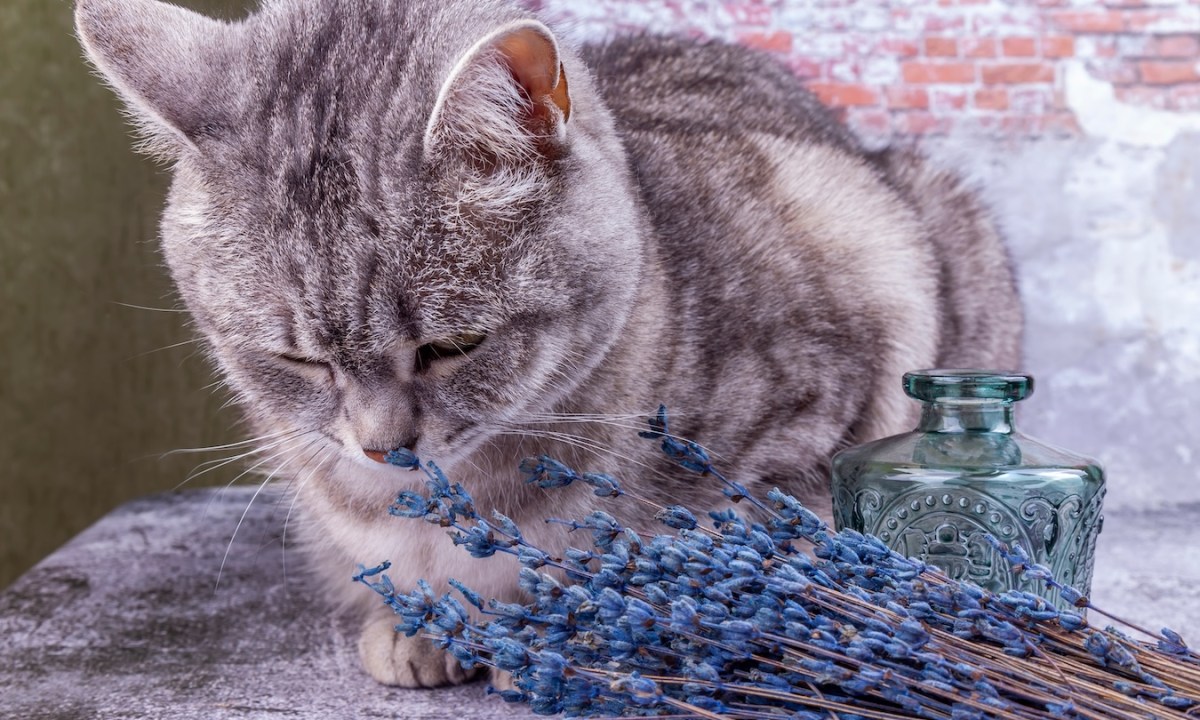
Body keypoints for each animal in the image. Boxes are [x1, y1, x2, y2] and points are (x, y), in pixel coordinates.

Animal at [72, 0, 1022, 691]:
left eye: (451, 346)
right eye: (298, 360)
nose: (383, 446)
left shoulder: (818, 410)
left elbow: (734, 549)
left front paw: (591, 635)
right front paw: (422, 627)